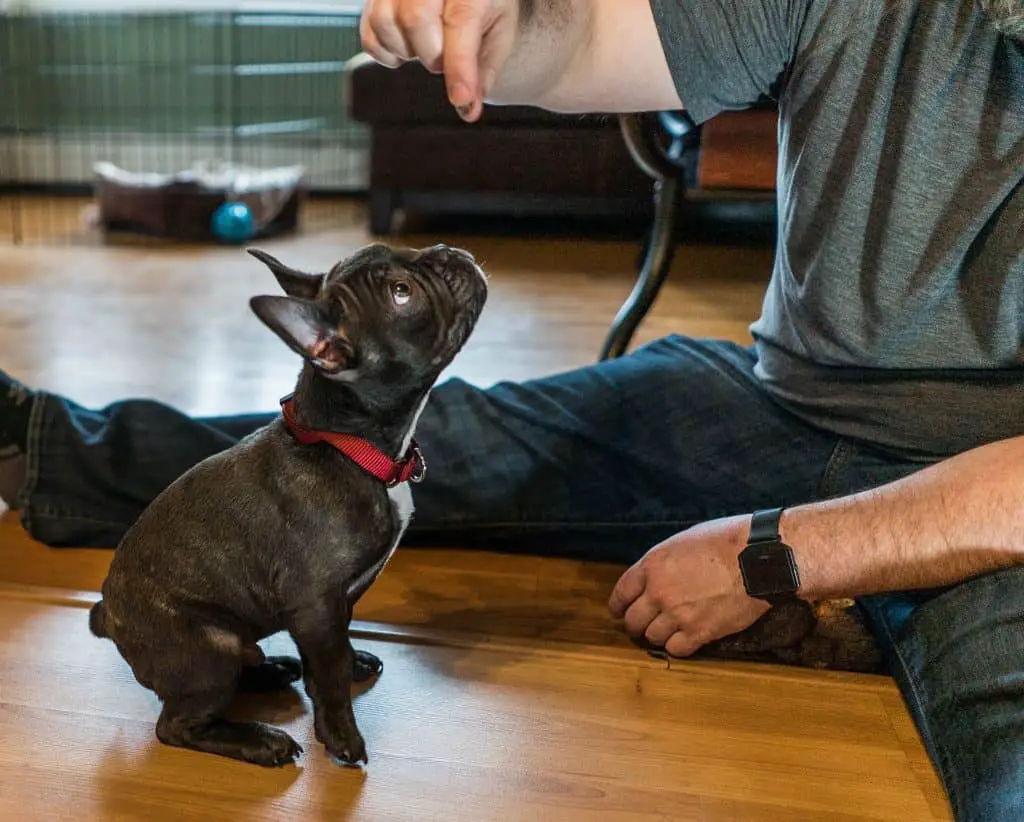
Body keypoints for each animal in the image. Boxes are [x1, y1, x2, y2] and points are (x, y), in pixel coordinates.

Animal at [89, 241, 487, 769]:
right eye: (402, 294)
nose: (445, 251)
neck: (349, 447)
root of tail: (106, 615)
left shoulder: (336, 607)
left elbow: (335, 654)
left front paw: (351, 662)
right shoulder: (316, 605)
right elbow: (330, 677)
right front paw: (341, 737)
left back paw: (272, 668)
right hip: (208, 651)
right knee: (177, 725)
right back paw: (259, 741)